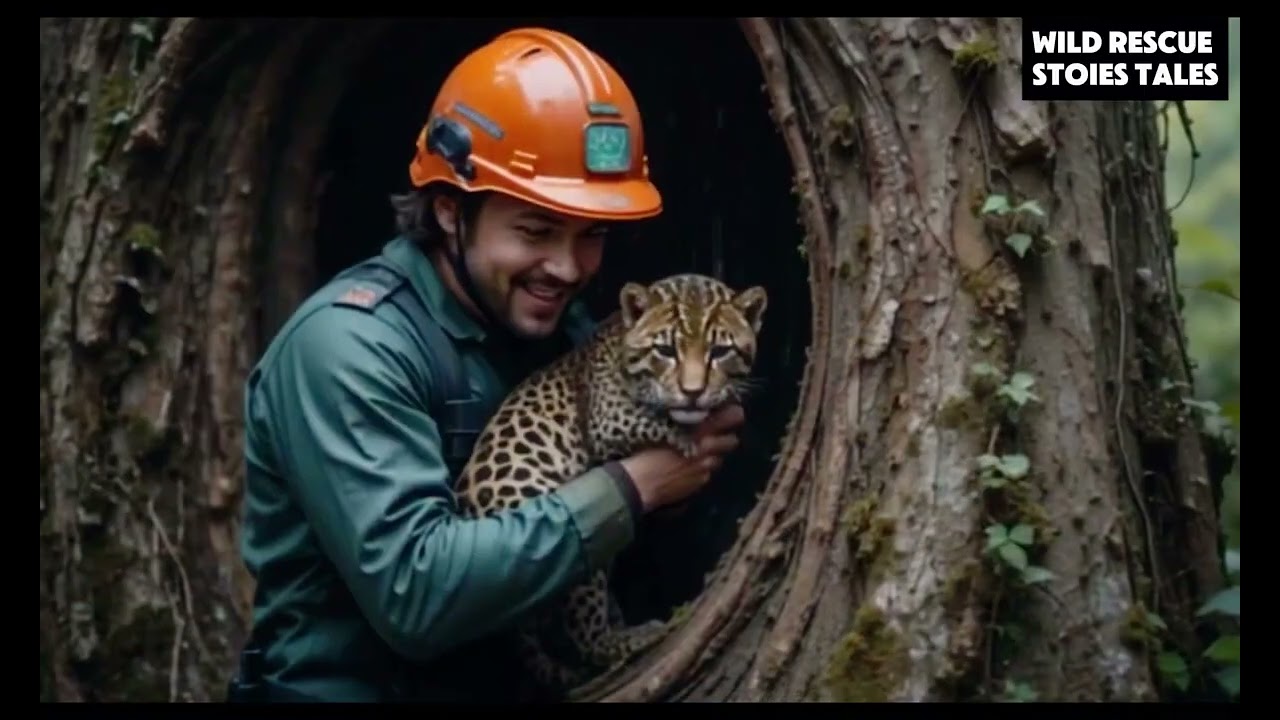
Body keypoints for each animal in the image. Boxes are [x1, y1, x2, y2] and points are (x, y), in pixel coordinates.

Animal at [451, 272, 768, 695]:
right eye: (665, 350)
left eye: (720, 351)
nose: (693, 392)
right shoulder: (608, 418)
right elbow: (651, 418)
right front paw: (687, 435)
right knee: (588, 639)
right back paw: (634, 637)